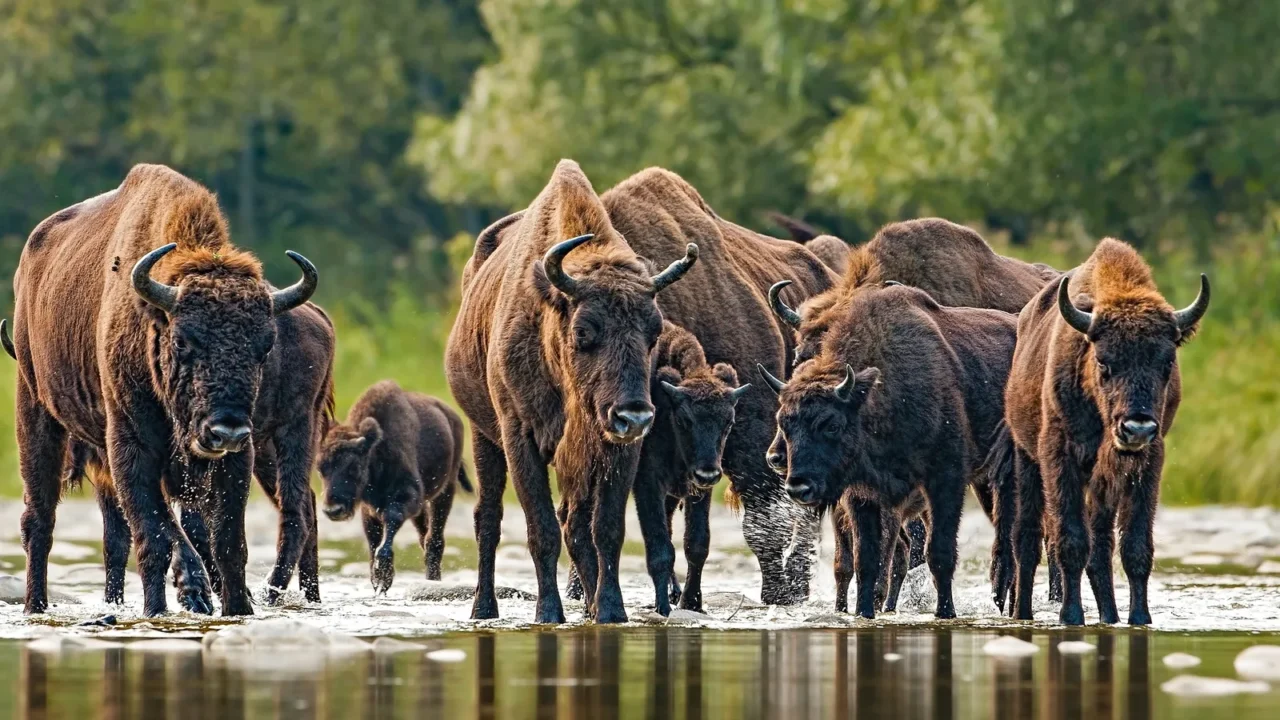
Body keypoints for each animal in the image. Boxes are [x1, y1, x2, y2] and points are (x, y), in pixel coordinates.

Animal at [8, 164, 317, 616]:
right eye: (183, 341)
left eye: (265, 346)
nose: (226, 431)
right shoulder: (130, 447)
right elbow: (153, 537)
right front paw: (159, 608)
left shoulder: (236, 459)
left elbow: (228, 543)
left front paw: (237, 609)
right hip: (35, 410)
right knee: (40, 519)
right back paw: (36, 605)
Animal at [318, 380, 470, 592]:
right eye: (319, 468)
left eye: (354, 467)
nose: (333, 510)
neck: (375, 451)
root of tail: (453, 417)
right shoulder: (369, 508)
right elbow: (373, 538)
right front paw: (376, 578)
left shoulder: (407, 496)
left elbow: (391, 520)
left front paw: (383, 576)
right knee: (425, 537)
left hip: (446, 489)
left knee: (434, 539)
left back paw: (434, 579)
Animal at [445, 160, 698, 623]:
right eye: (584, 332)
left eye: (653, 331)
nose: (634, 416)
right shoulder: (519, 438)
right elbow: (541, 529)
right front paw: (549, 613)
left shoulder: (616, 451)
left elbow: (605, 530)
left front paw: (611, 610)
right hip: (483, 437)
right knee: (488, 519)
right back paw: (483, 607)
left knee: (575, 525)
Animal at [760, 281, 1016, 618]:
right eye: (784, 421)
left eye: (832, 424)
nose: (797, 485)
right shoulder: (862, 495)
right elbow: (866, 560)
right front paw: (863, 613)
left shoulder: (945, 480)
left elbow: (939, 553)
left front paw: (945, 613)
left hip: (1004, 477)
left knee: (1011, 544)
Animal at [1001, 238, 1208, 625]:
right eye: (1104, 361)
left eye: (1167, 362)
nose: (1136, 428)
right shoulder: (1060, 457)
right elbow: (1070, 541)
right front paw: (1071, 616)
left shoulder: (1147, 464)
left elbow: (1134, 546)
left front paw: (1140, 618)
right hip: (1026, 459)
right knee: (1027, 539)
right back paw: (1023, 613)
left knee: (1100, 549)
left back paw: (1110, 615)